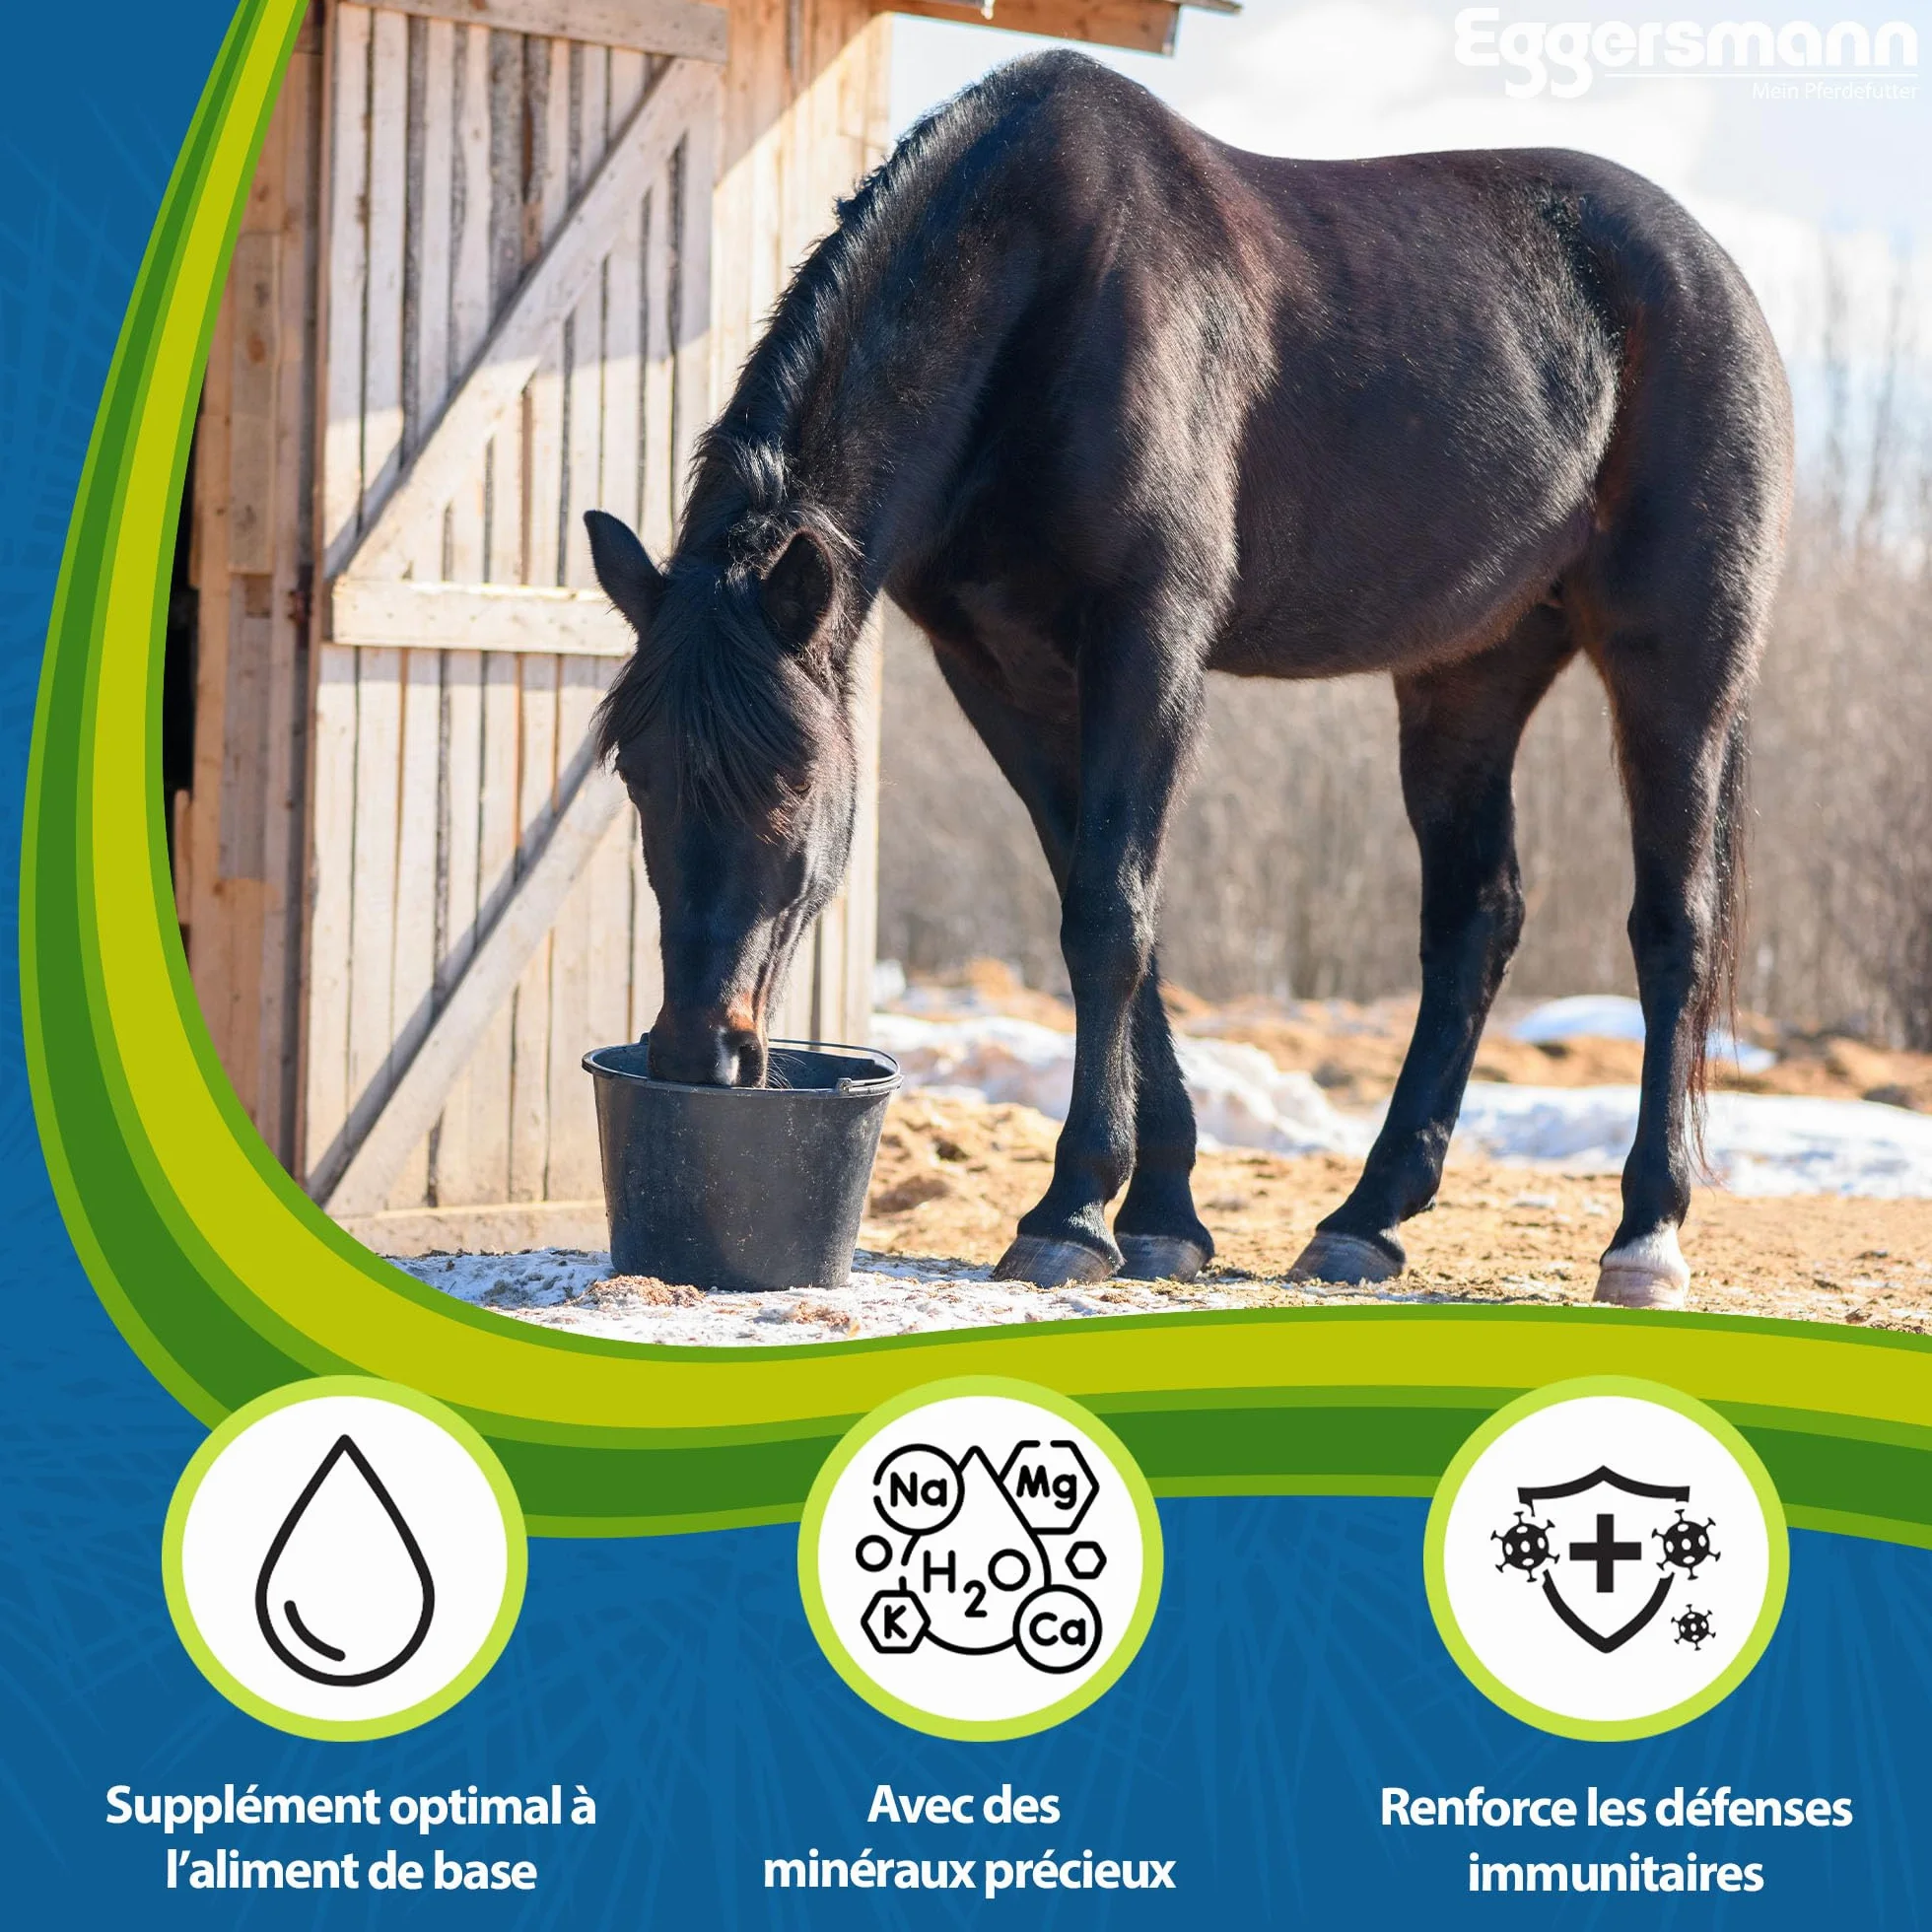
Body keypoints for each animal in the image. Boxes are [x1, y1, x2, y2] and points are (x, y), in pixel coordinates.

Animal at [583, 49, 1792, 1309]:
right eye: (636, 777)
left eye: (792, 782)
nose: (697, 1054)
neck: (1040, 295)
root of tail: (1708, 272)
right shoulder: (1001, 675)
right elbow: (1117, 916)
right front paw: (1158, 1213)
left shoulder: (1147, 644)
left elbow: (1107, 916)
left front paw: (1069, 1216)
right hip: (1468, 673)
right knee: (1475, 916)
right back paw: (1363, 1222)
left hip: (1676, 664)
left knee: (1673, 926)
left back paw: (1644, 1235)